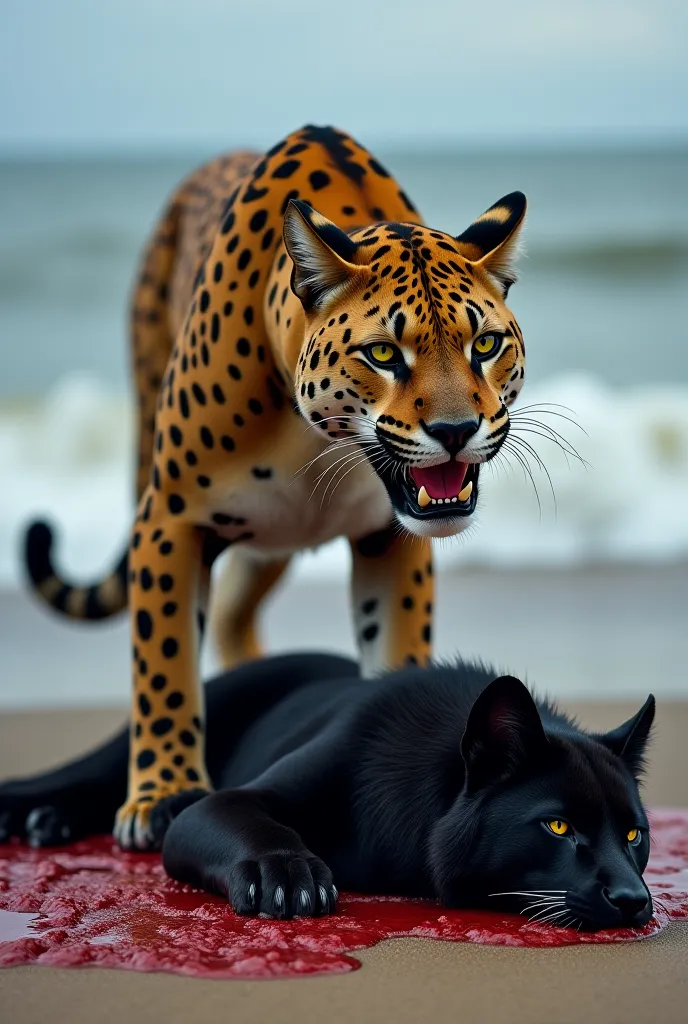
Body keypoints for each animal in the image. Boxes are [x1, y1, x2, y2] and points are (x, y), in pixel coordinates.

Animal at [22, 123, 528, 851]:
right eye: (383, 353)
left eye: (484, 345)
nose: (457, 430)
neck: (315, 436)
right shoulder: (169, 521)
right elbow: (165, 664)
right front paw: (162, 793)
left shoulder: (390, 541)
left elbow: (395, 648)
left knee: (236, 614)